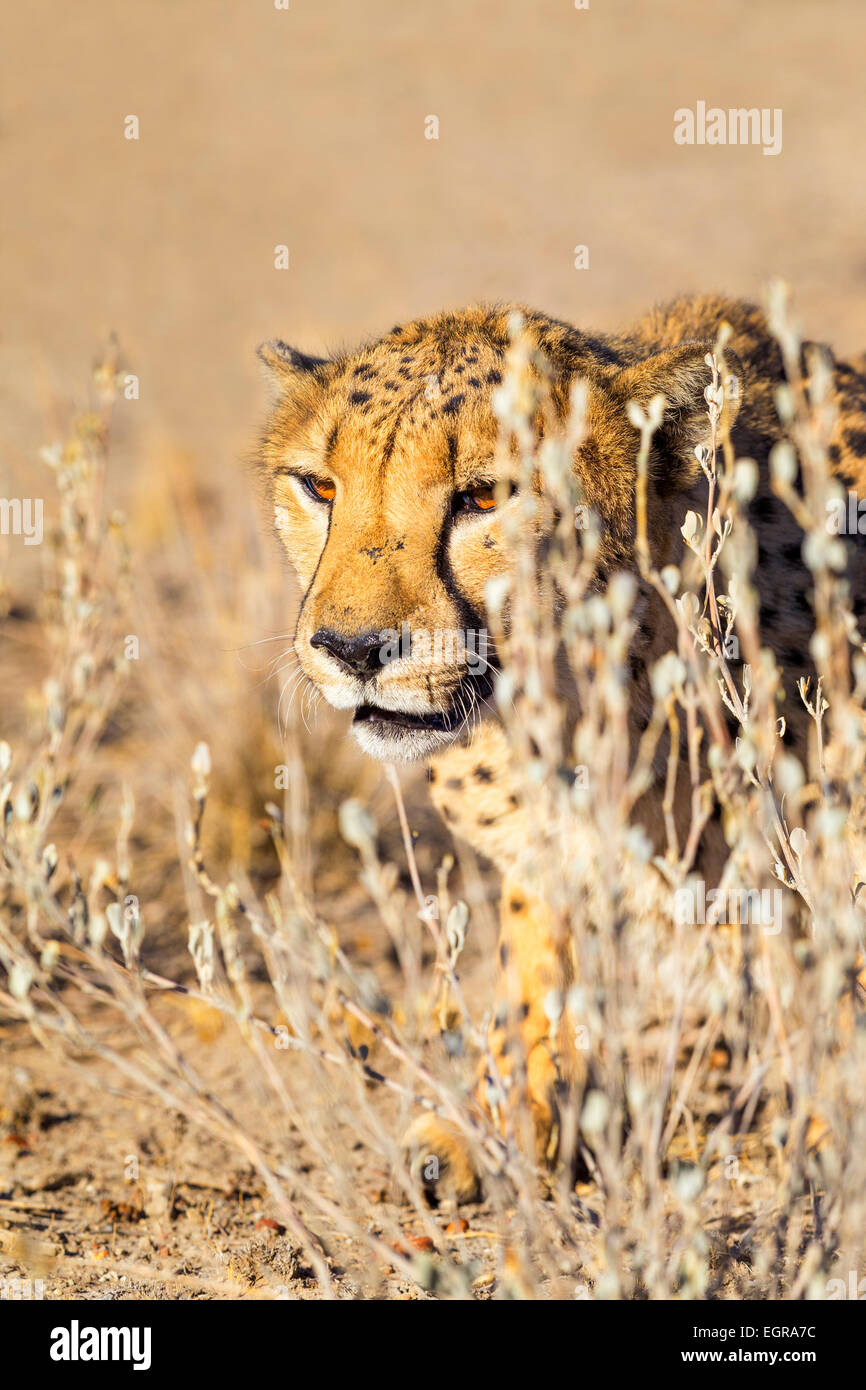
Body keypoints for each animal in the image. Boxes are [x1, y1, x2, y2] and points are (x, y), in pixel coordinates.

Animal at [254, 298, 866, 1200]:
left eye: (484, 496)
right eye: (319, 486)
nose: (353, 649)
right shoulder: (546, 853)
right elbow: (535, 974)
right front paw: (497, 1123)